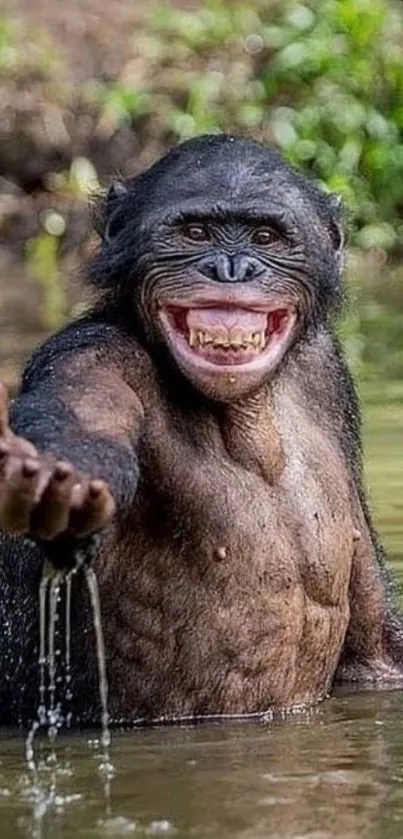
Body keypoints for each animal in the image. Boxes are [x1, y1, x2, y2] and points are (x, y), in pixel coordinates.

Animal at [0, 135, 403, 724]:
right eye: (194, 234)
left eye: (265, 237)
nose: (232, 268)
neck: (244, 410)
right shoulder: (91, 359)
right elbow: (81, 418)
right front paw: (56, 481)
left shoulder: (328, 373)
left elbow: (372, 650)